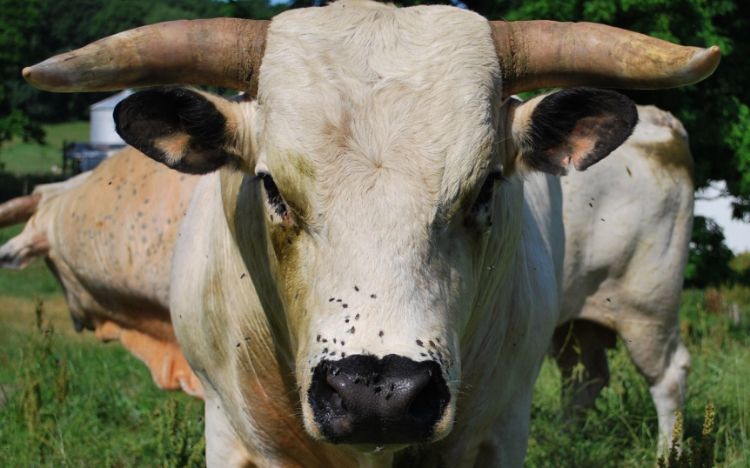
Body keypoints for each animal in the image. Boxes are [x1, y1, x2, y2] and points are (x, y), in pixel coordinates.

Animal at [22, 1, 716, 466]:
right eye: (272, 187)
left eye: (486, 187)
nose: (378, 395)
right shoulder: (227, 428)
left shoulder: (499, 428)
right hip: (582, 321)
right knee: (586, 378)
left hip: (647, 304)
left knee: (668, 375)